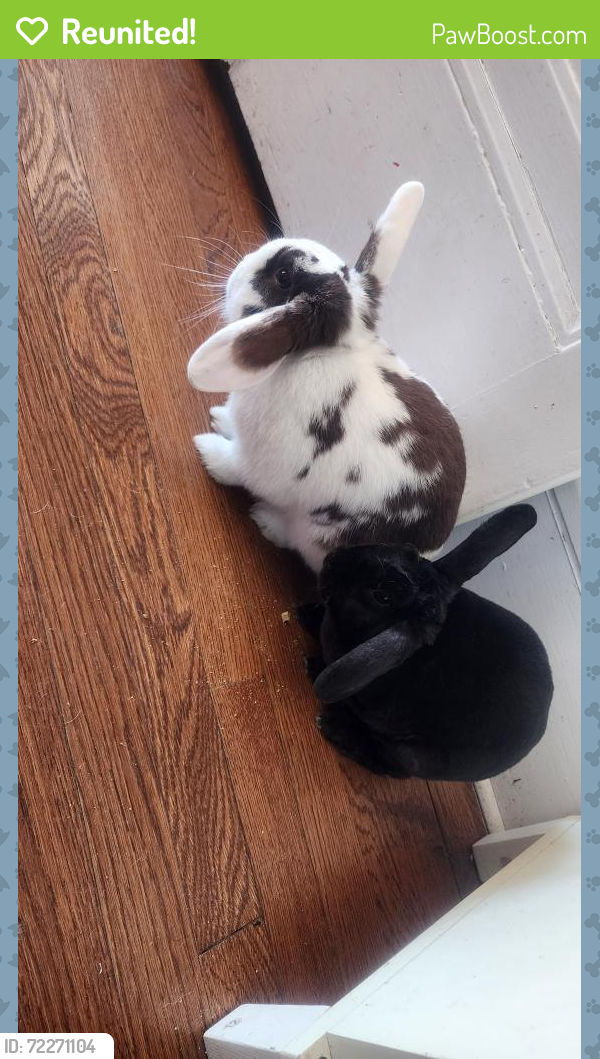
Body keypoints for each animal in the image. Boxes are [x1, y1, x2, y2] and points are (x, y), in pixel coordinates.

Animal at [187, 182, 466, 572]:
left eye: (284, 276)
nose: (233, 275)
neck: (318, 354)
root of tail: (429, 555)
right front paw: (219, 418)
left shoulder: (259, 462)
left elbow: (234, 467)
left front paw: (206, 450)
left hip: (316, 535)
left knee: (294, 538)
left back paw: (266, 521)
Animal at [298, 504, 553, 782]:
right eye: (407, 549)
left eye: (382, 596)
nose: (332, 558)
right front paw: (308, 614)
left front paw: (314, 665)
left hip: (414, 754)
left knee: (393, 767)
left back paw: (335, 728)